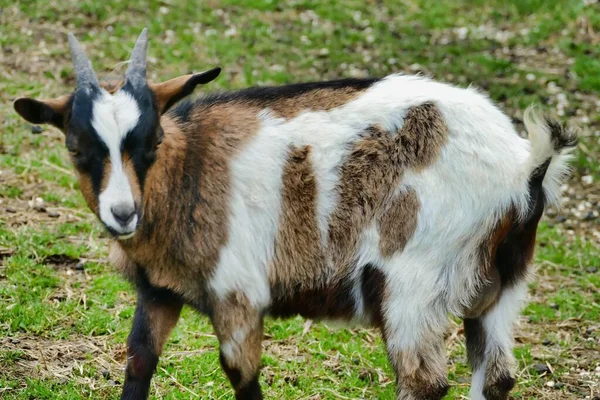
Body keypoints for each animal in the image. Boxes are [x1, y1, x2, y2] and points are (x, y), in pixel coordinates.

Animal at [12, 29, 576, 398]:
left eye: (152, 140)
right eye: (77, 148)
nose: (123, 213)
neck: (188, 170)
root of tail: (524, 165)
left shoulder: (238, 294)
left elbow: (242, 377)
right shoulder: (160, 291)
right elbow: (138, 362)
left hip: (412, 284)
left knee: (424, 381)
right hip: (503, 282)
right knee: (496, 375)